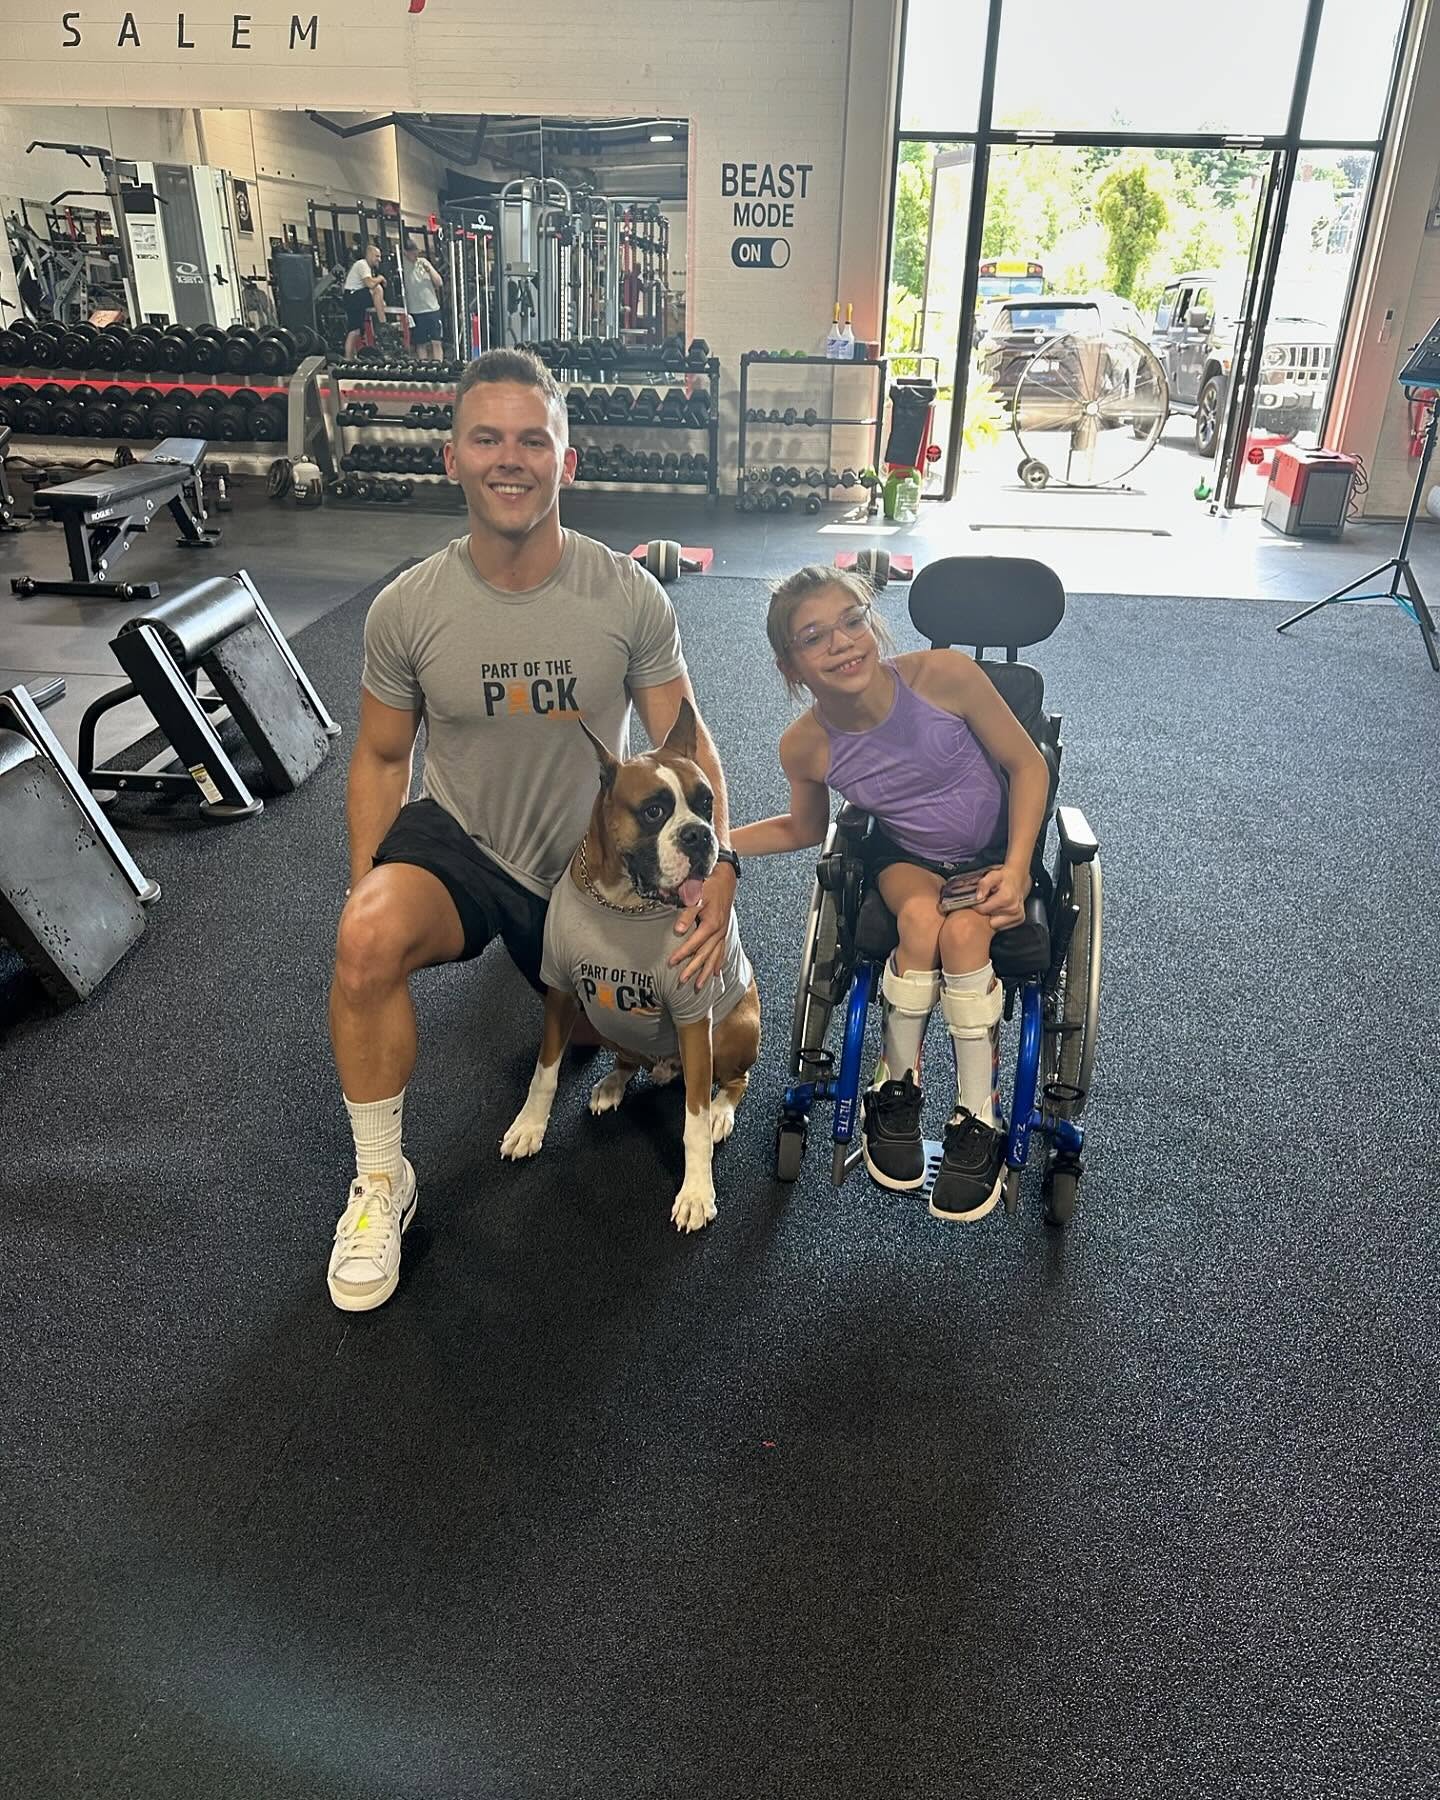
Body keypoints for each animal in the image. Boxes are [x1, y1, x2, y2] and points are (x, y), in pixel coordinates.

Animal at [500, 699, 760, 1231]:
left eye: (706, 803)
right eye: (654, 811)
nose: (699, 835)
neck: (622, 903)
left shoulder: (693, 1017)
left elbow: (692, 1123)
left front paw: (696, 1191)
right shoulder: (560, 990)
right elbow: (545, 1071)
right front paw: (530, 1125)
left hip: (731, 1030)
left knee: (734, 1079)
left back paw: (722, 1108)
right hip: (606, 1022)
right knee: (628, 1058)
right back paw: (614, 1082)